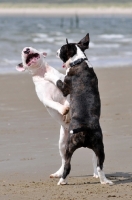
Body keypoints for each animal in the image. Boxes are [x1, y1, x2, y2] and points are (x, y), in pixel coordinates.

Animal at [44, 33, 112, 185]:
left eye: (61, 49)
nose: (56, 51)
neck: (79, 61)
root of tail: (85, 128)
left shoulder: (64, 87)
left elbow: (57, 79)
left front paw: (47, 74)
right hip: (100, 149)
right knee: (100, 166)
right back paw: (105, 181)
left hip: (68, 148)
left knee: (67, 166)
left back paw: (62, 181)